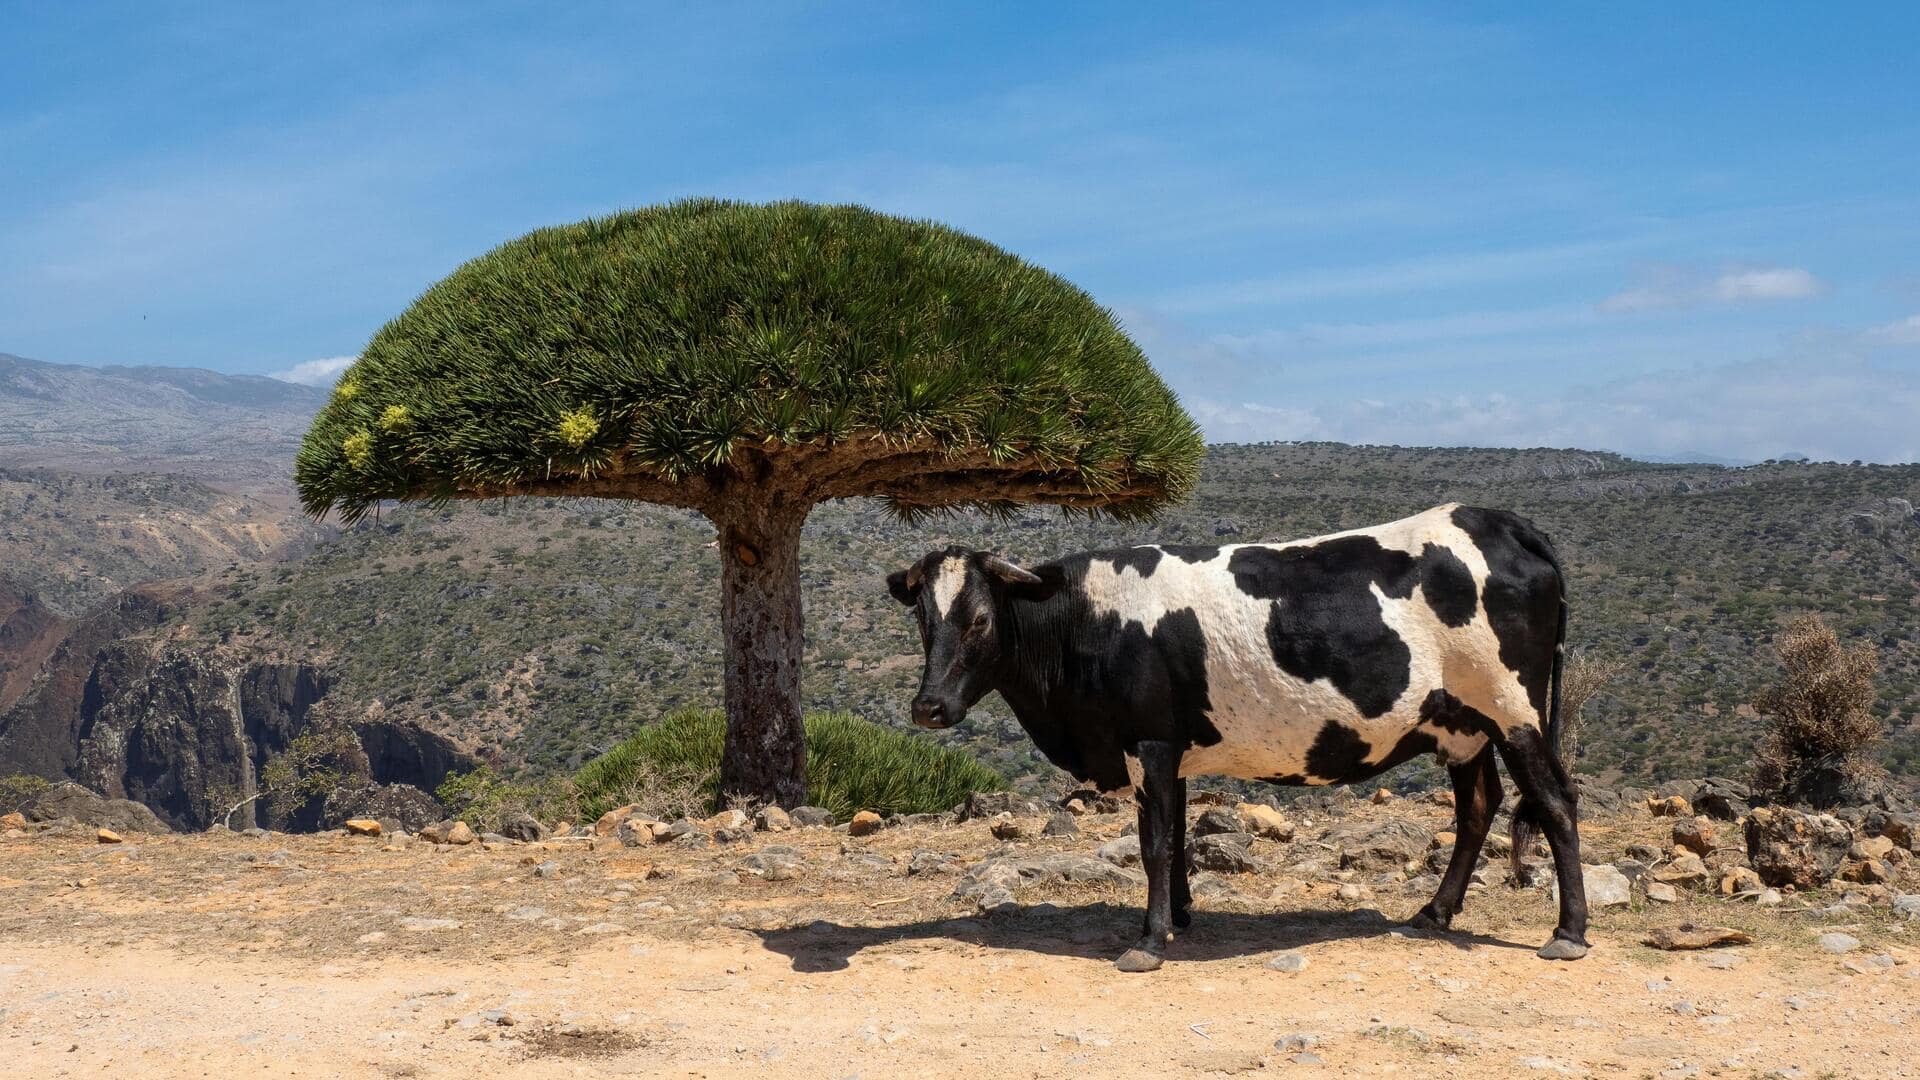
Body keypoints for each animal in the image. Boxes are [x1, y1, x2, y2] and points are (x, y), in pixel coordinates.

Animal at [890, 503, 1582, 968]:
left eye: (980, 619)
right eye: (923, 618)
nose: (929, 707)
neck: (1090, 617)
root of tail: (1502, 521)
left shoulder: (1149, 743)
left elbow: (1156, 844)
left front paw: (1149, 941)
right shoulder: (1168, 751)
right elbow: (1172, 840)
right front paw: (1179, 916)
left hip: (1513, 711)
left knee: (1554, 803)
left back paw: (1568, 932)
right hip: (1463, 725)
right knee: (1478, 808)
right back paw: (1434, 913)